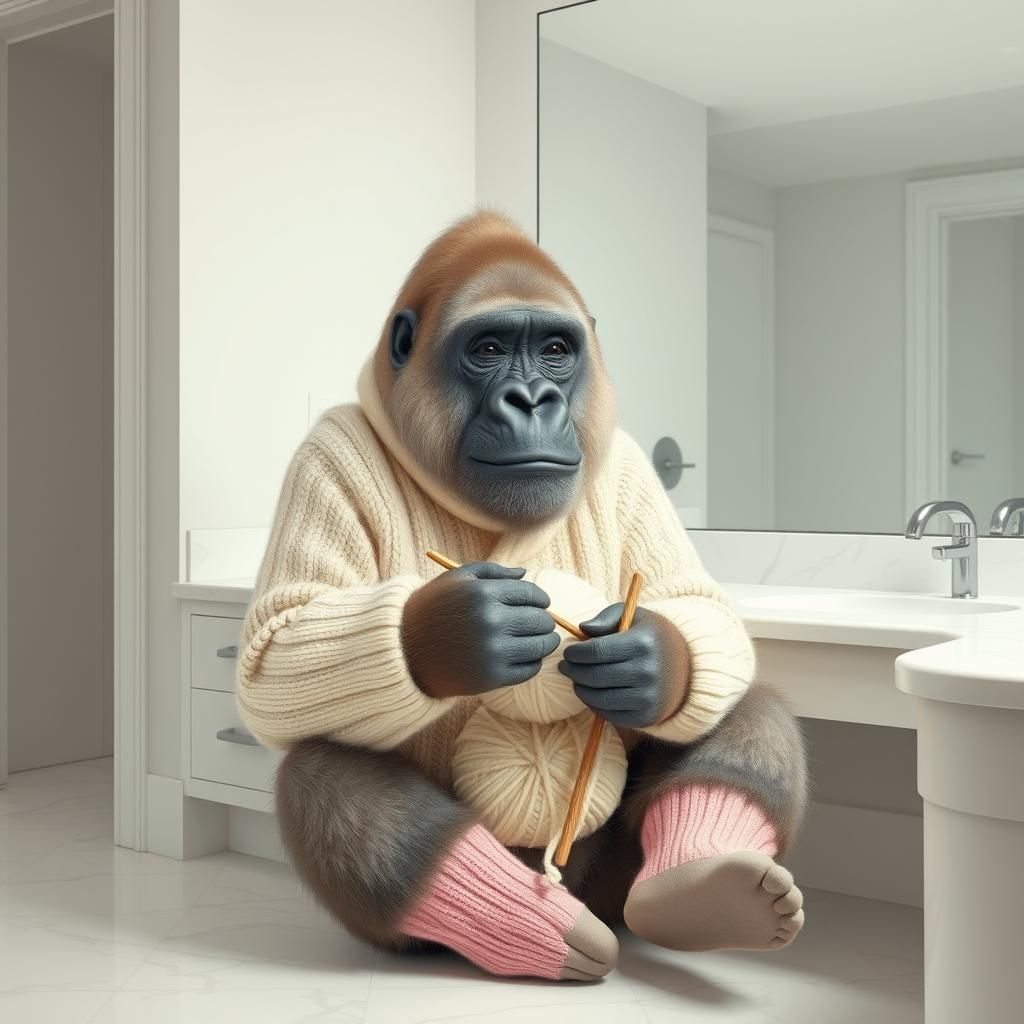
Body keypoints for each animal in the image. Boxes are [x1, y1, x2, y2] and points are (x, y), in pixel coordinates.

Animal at [236, 210, 807, 982]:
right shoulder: (326, 452)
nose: (533, 398)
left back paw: (706, 892)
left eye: (556, 350)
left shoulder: (627, 465)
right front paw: (457, 629)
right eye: (489, 349)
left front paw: (647, 658)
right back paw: (538, 927)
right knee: (320, 770)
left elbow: (694, 601)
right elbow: (278, 645)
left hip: (617, 876)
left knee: (738, 700)